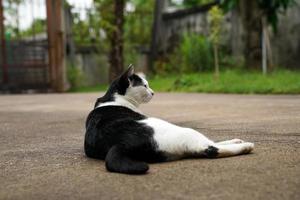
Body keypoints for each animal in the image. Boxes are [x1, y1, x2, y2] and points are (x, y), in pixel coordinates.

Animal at [85, 65, 255, 173]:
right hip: (186, 131)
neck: (114, 99)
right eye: (145, 86)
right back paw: (246, 146)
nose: (153, 92)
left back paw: (237, 141)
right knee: (211, 148)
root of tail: (120, 144)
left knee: (209, 145)